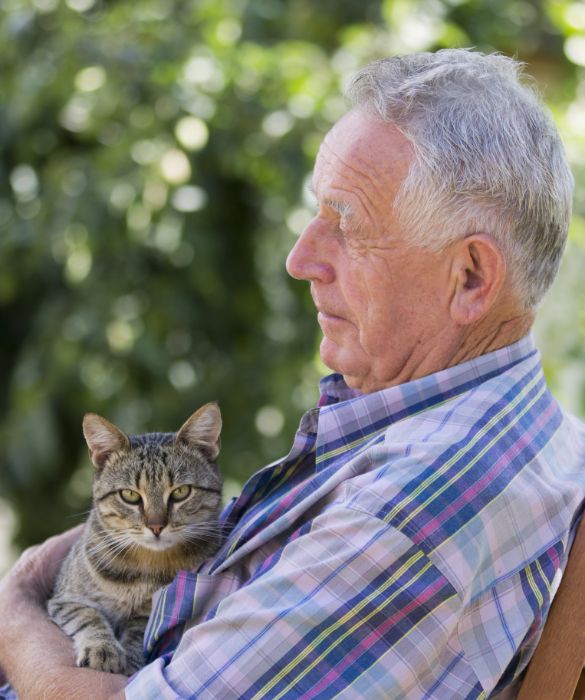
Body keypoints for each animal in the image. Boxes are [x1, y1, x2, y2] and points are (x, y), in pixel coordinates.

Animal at [46, 402, 221, 676]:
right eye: (129, 495)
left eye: (181, 492)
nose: (156, 526)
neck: (144, 566)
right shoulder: (64, 600)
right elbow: (88, 617)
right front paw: (102, 648)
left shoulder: (148, 613)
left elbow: (139, 632)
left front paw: (129, 659)